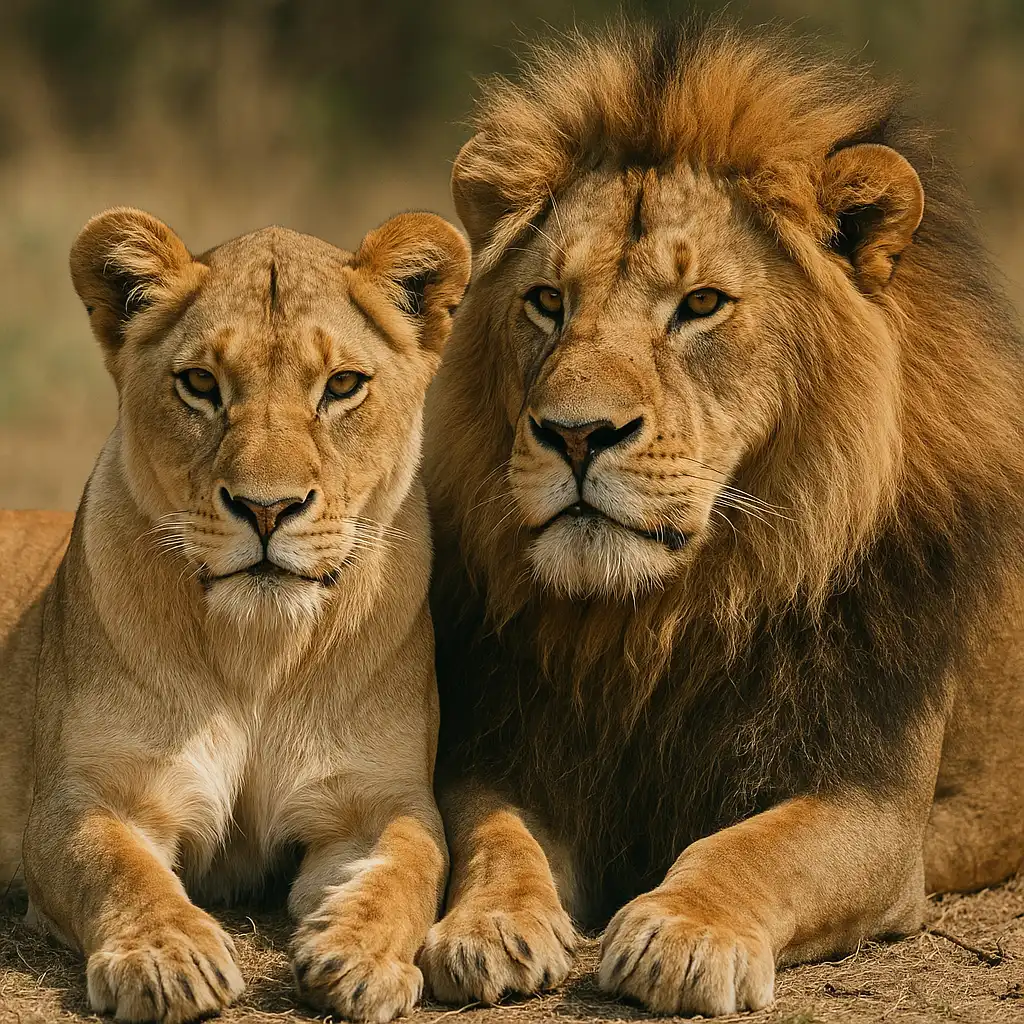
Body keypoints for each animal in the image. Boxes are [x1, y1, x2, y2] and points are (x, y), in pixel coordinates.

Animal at [0, 206, 469, 1023]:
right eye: (200, 383)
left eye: (342, 385)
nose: (267, 508)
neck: (258, 654)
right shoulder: (82, 796)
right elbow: (113, 865)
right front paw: (168, 958)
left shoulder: (377, 799)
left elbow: (413, 863)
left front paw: (360, 957)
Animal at [418, 21, 1024, 1017]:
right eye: (548, 302)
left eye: (700, 304)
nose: (574, 434)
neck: (663, 618)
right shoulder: (508, 747)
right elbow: (493, 834)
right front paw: (486, 926)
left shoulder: (876, 804)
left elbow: (751, 847)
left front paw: (683, 932)